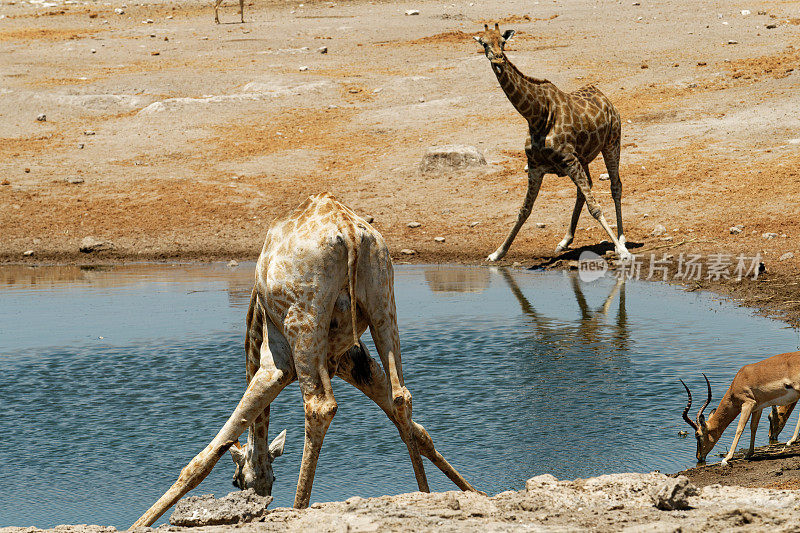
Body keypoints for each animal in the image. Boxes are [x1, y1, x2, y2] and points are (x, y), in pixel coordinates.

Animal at [131, 193, 476, 524]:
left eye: (236, 481)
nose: (261, 502)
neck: (255, 324)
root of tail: (349, 232)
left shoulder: (276, 364)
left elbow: (206, 456)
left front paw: (139, 523)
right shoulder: (349, 358)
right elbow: (417, 430)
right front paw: (473, 493)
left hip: (304, 325)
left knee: (319, 407)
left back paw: (299, 508)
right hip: (383, 304)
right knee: (401, 397)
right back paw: (425, 494)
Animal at [476, 25, 632, 262]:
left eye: (503, 42)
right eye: (483, 43)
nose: (498, 58)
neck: (536, 115)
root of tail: (607, 99)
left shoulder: (568, 160)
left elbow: (595, 207)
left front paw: (623, 251)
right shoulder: (536, 166)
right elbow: (524, 210)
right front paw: (497, 253)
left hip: (612, 143)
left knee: (616, 186)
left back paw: (621, 240)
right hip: (583, 158)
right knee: (585, 189)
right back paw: (565, 241)